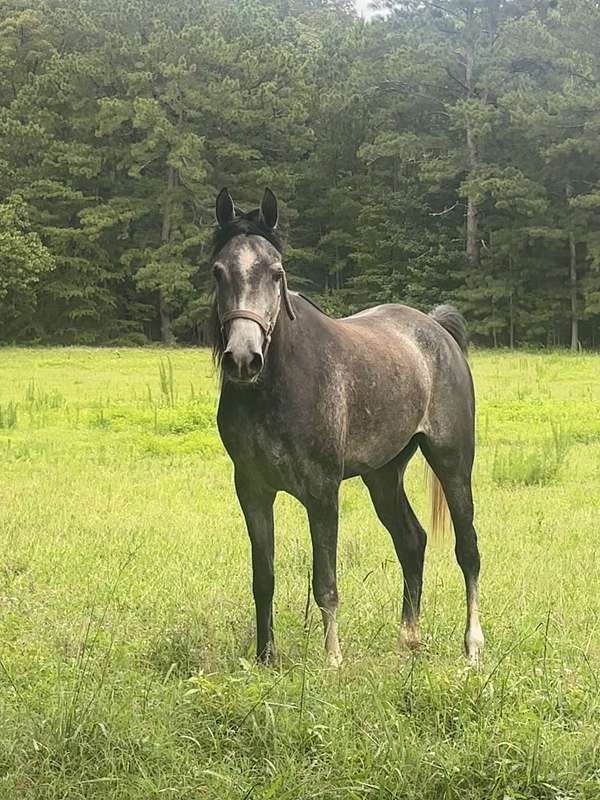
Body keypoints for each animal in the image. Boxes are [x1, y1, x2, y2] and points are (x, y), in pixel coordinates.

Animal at [210, 187, 484, 667]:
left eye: (277, 273)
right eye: (218, 271)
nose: (243, 359)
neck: (278, 386)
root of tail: (437, 330)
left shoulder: (322, 492)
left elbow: (325, 583)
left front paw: (333, 660)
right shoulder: (252, 490)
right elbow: (263, 579)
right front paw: (265, 658)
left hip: (452, 463)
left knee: (467, 550)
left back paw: (471, 648)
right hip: (384, 475)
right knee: (411, 540)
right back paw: (408, 639)